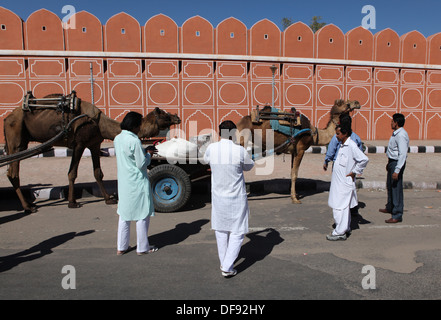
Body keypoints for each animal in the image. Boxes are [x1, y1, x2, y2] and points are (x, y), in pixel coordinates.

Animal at [4, 92, 180, 212]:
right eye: (164, 115)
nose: (177, 117)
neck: (100, 124)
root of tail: (7, 118)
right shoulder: (79, 143)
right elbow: (72, 173)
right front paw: (72, 202)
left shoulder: (95, 144)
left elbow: (98, 173)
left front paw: (108, 198)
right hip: (16, 136)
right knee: (13, 172)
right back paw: (28, 207)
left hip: (21, 141)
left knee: (12, 171)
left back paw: (30, 203)